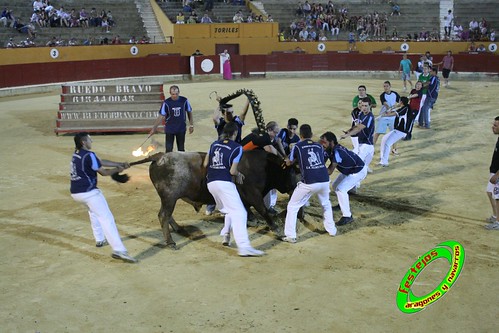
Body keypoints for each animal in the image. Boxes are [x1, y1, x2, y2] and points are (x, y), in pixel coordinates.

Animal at [131, 149, 298, 248]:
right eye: (294, 171)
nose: (297, 186)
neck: (264, 167)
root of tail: (160, 156)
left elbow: (247, 208)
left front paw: (252, 220)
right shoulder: (254, 194)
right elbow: (264, 211)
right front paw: (278, 231)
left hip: (169, 199)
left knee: (166, 215)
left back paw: (178, 229)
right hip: (169, 197)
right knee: (163, 215)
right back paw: (170, 241)